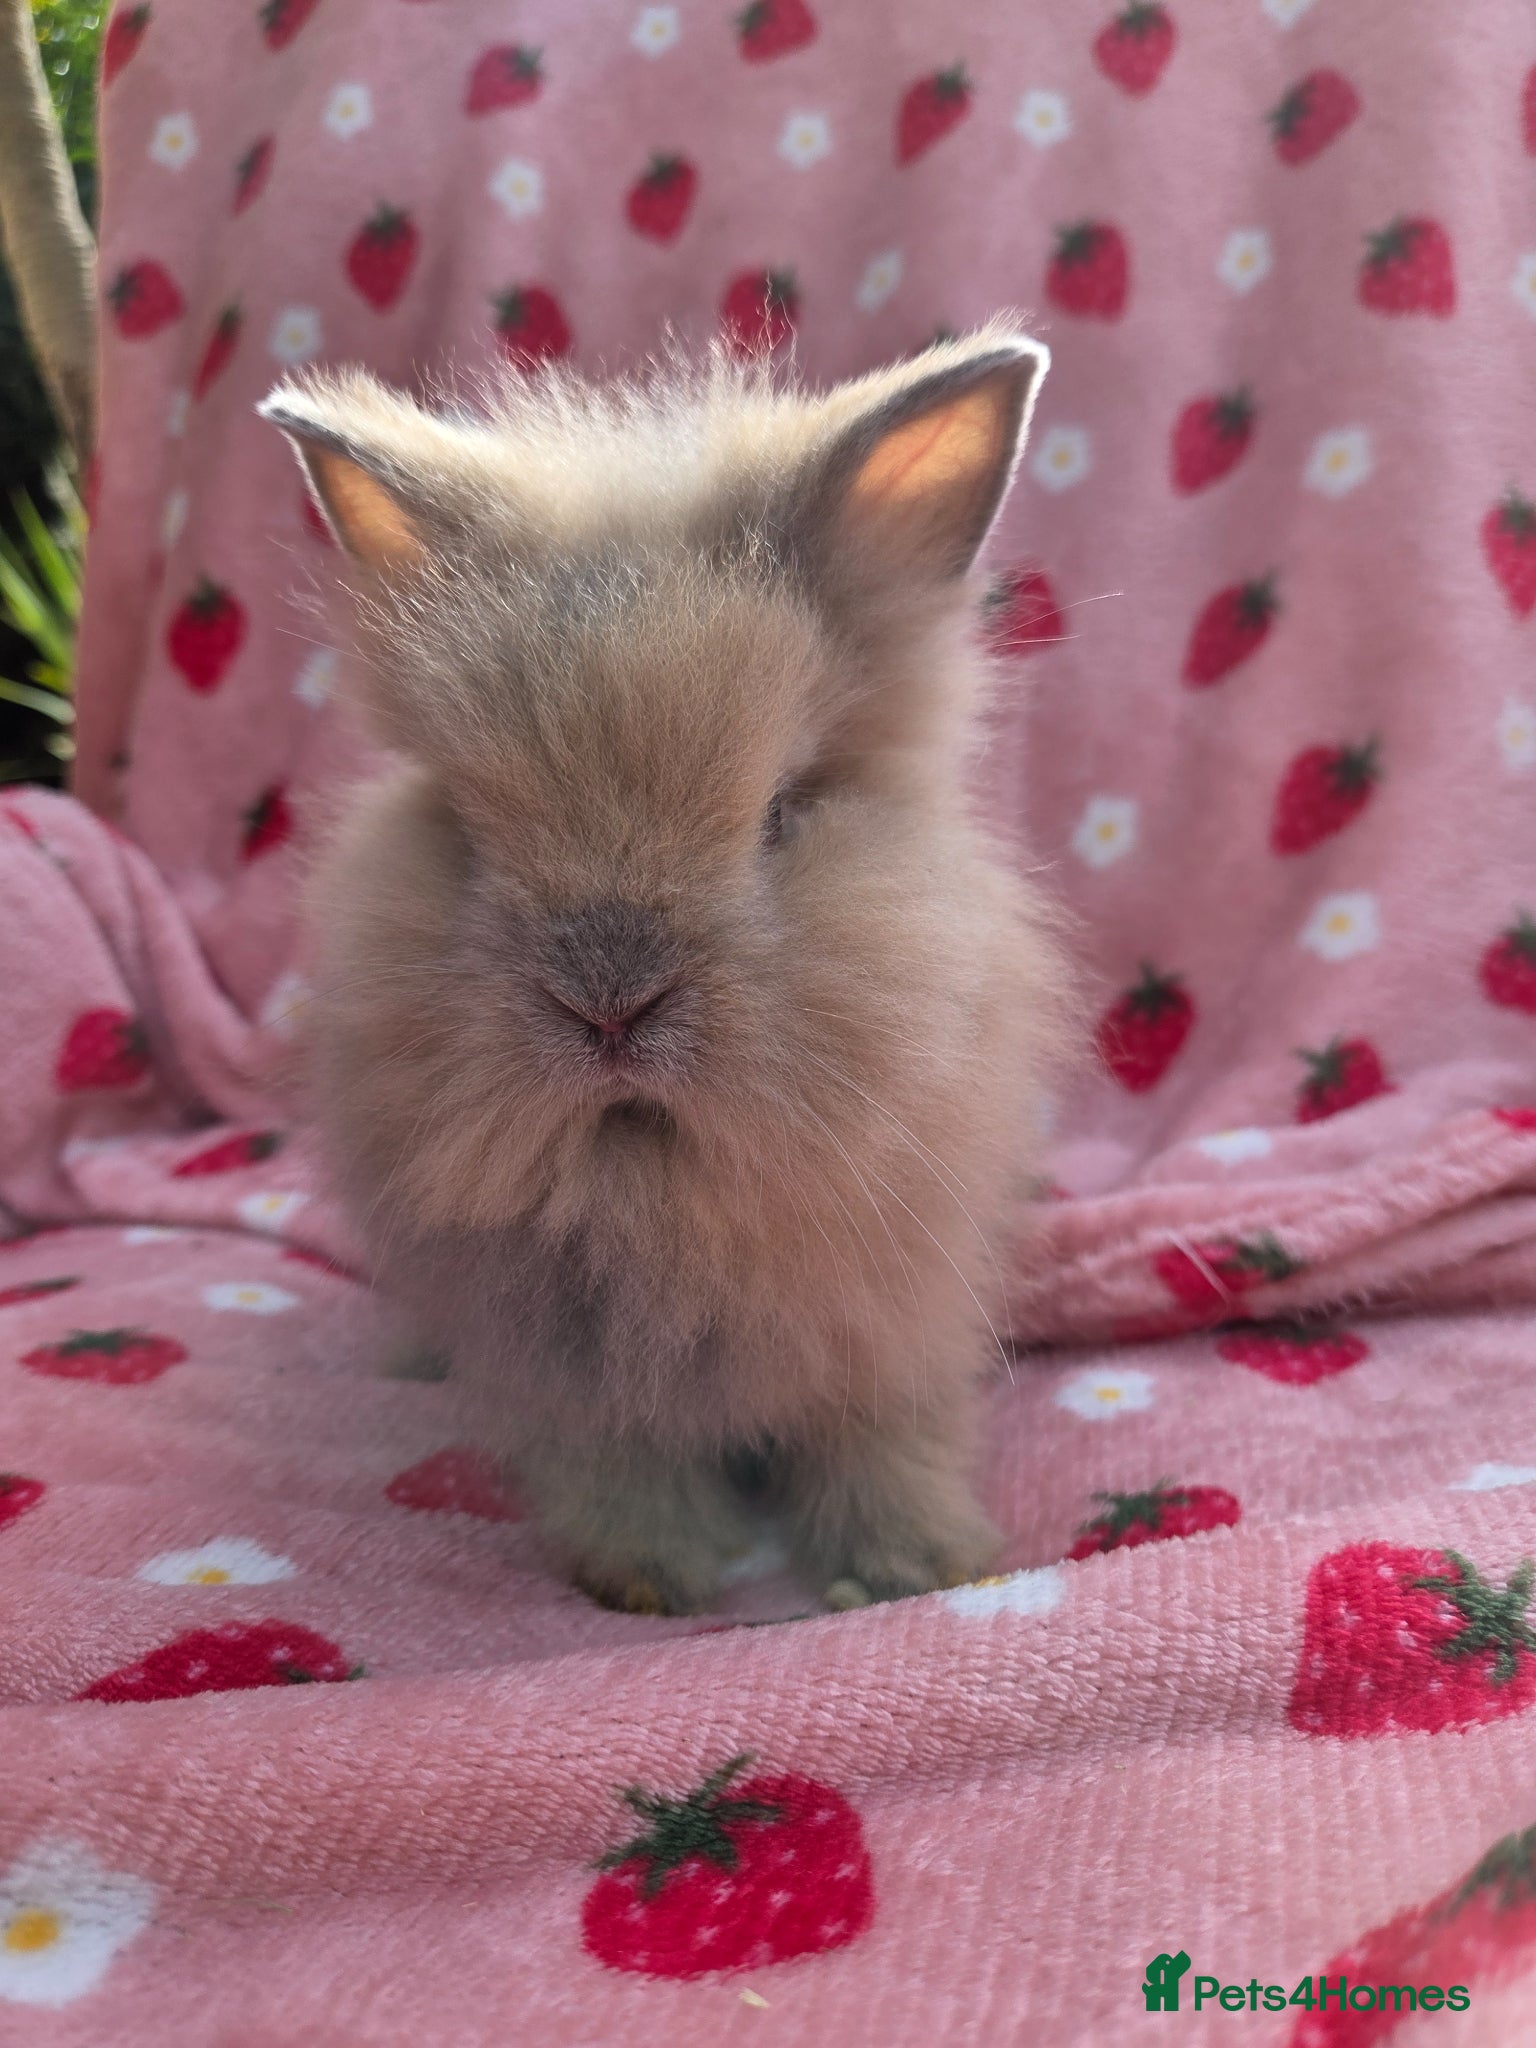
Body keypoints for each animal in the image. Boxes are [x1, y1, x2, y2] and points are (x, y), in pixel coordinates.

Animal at [260, 321, 1076, 1616]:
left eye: (781, 813)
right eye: (470, 833)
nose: (610, 1002)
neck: (653, 1183)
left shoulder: (894, 1328)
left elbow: (884, 1440)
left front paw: (915, 1566)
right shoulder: (575, 1382)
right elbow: (622, 1466)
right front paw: (651, 1580)